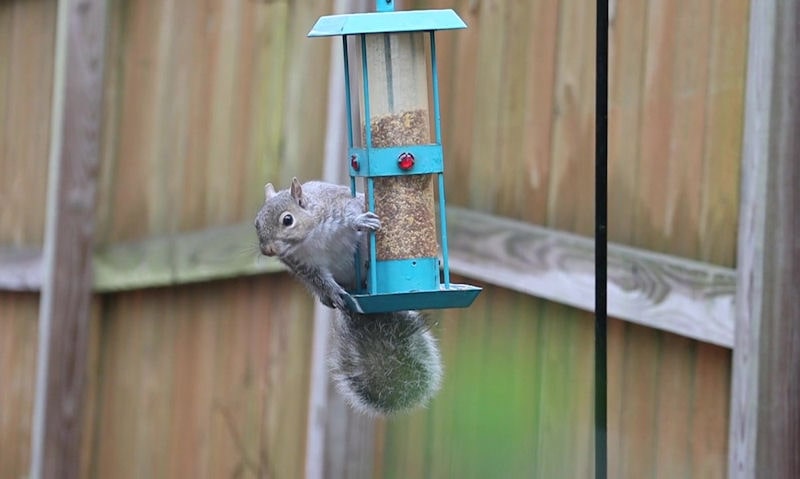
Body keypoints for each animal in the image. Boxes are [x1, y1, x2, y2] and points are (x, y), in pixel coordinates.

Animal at [256, 178, 444, 418]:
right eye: (257, 224)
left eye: (287, 220)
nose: (268, 250)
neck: (309, 239)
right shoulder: (304, 266)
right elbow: (321, 280)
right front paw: (334, 293)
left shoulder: (336, 207)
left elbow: (350, 214)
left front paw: (360, 220)